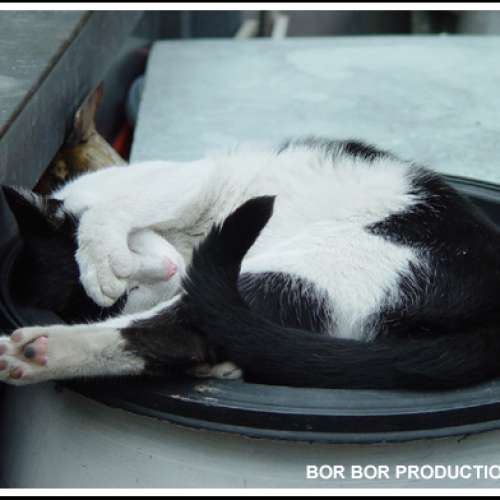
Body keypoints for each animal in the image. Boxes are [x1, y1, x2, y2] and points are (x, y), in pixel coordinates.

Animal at [1, 137, 500, 389]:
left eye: (131, 289)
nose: (170, 273)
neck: (187, 242)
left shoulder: (188, 182)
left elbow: (113, 210)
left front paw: (99, 258)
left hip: (316, 262)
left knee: (178, 331)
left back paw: (39, 351)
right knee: (184, 336)